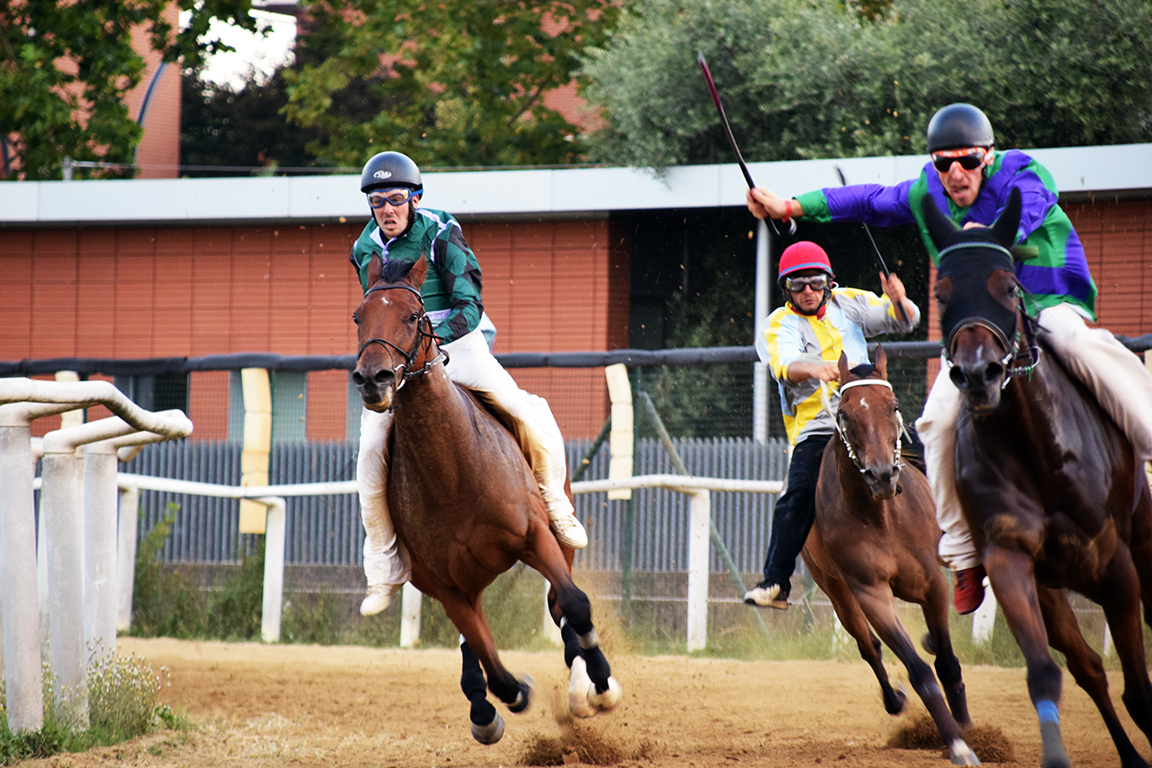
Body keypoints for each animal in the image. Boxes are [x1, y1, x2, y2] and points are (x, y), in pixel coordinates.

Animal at [350, 255, 622, 741]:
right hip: (467, 580)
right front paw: (508, 695)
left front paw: (601, 686)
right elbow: (491, 664)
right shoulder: (444, 585)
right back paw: (482, 702)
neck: (453, 474)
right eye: (358, 317)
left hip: (557, 537)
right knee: (474, 643)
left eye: (414, 316)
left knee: (560, 604)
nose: (372, 379)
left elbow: (574, 604)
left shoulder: (534, 536)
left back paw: (582, 688)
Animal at [801, 347, 981, 764]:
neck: (880, 518)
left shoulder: (932, 583)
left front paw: (967, 728)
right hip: (837, 592)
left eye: (892, 405)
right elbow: (919, 672)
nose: (882, 474)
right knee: (869, 647)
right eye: (845, 413)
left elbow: (947, 663)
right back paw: (894, 699)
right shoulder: (871, 593)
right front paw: (958, 745)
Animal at [921, 187, 1152, 768]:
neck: (1040, 452)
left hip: (1143, 539)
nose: (976, 374)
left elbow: (1140, 690)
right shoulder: (1010, 558)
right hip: (1052, 588)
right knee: (1088, 667)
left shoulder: (1116, 564)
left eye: (1008, 286)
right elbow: (1047, 673)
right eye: (941, 292)